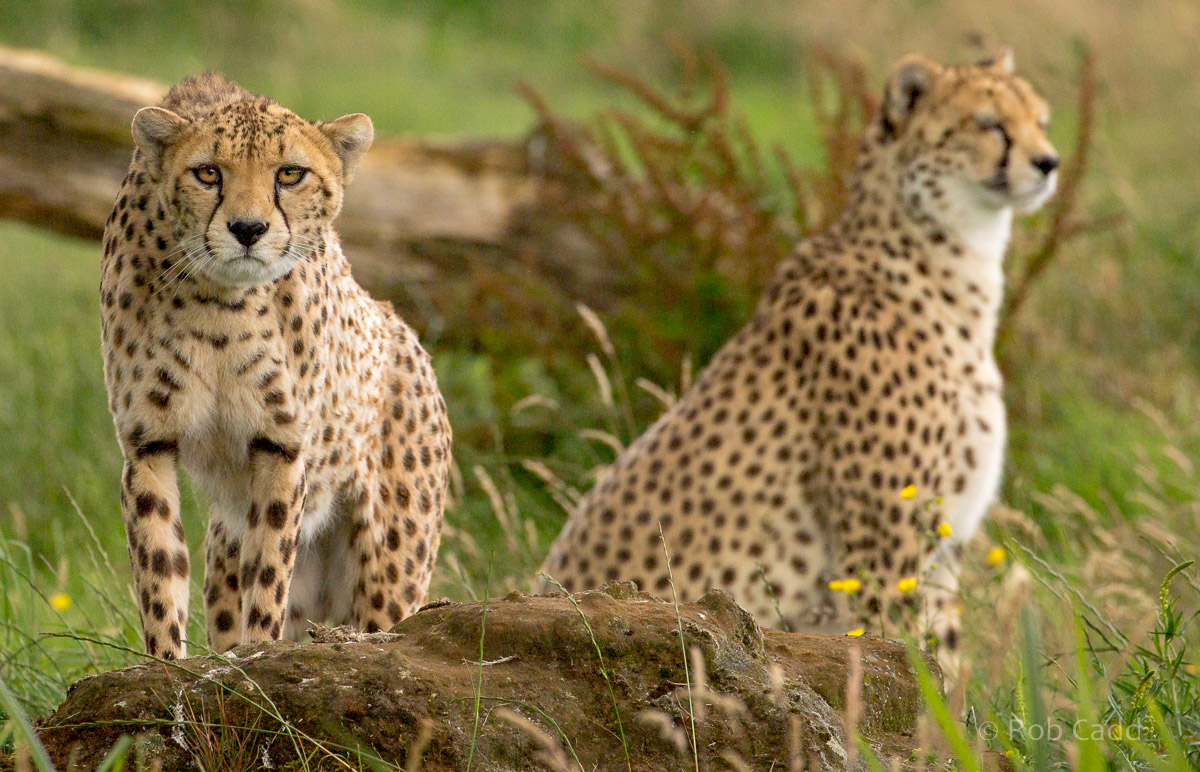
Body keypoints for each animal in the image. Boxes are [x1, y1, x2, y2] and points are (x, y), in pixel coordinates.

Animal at [100, 73, 451, 660]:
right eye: (208, 172)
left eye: (289, 174)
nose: (248, 228)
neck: (218, 303)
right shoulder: (148, 441)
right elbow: (159, 570)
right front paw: (168, 663)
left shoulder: (282, 444)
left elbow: (267, 573)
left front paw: (258, 655)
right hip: (226, 542)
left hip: (390, 573)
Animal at [539, 51, 1058, 665]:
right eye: (989, 124)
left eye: (1041, 120)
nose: (1048, 162)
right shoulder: (883, 555)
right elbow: (909, 658)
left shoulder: (939, 548)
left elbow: (945, 664)